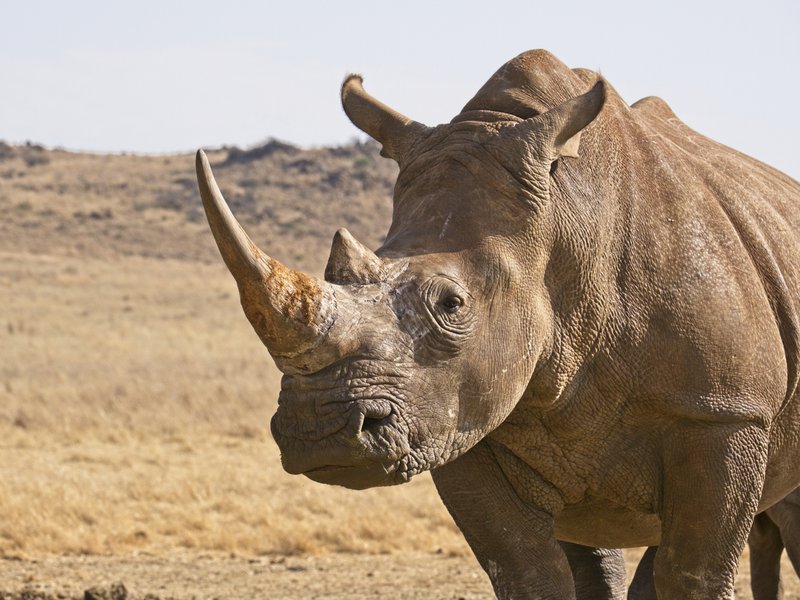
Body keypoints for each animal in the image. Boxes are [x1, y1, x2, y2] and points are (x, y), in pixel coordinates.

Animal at [195, 50, 800, 599]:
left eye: (451, 305)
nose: (318, 432)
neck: (567, 221)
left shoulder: (724, 412)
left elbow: (694, 575)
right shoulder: (460, 421)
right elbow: (526, 573)